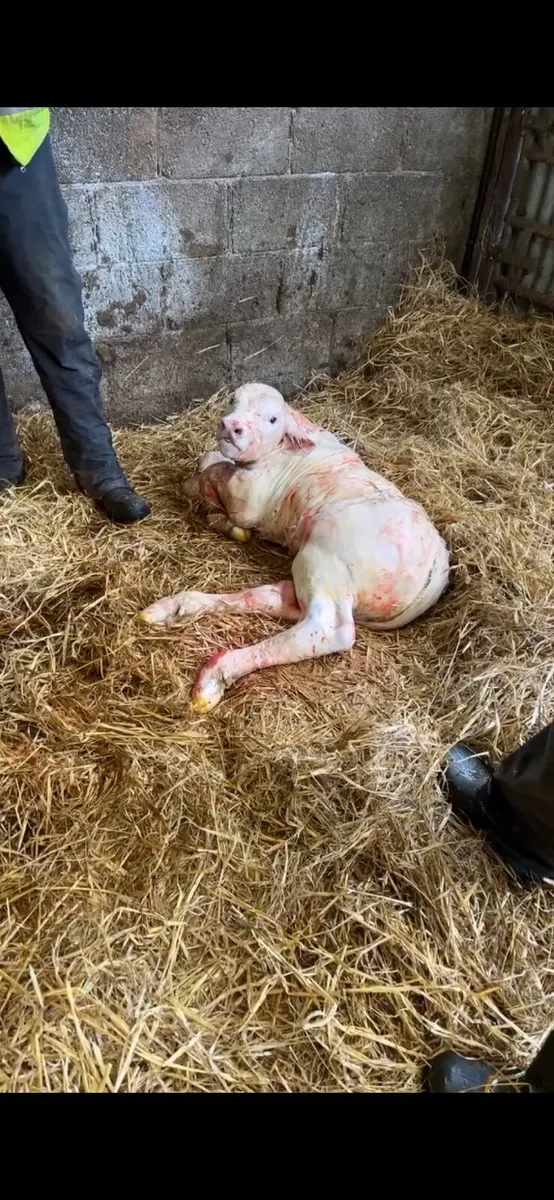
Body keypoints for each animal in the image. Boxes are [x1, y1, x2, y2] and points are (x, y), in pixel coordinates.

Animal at [139, 383, 449, 712]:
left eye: (273, 418)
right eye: (233, 401)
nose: (231, 426)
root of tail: (437, 562)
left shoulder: (247, 501)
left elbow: (212, 468)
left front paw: (200, 492)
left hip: (323, 563)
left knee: (328, 627)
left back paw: (216, 674)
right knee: (275, 599)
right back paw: (174, 608)